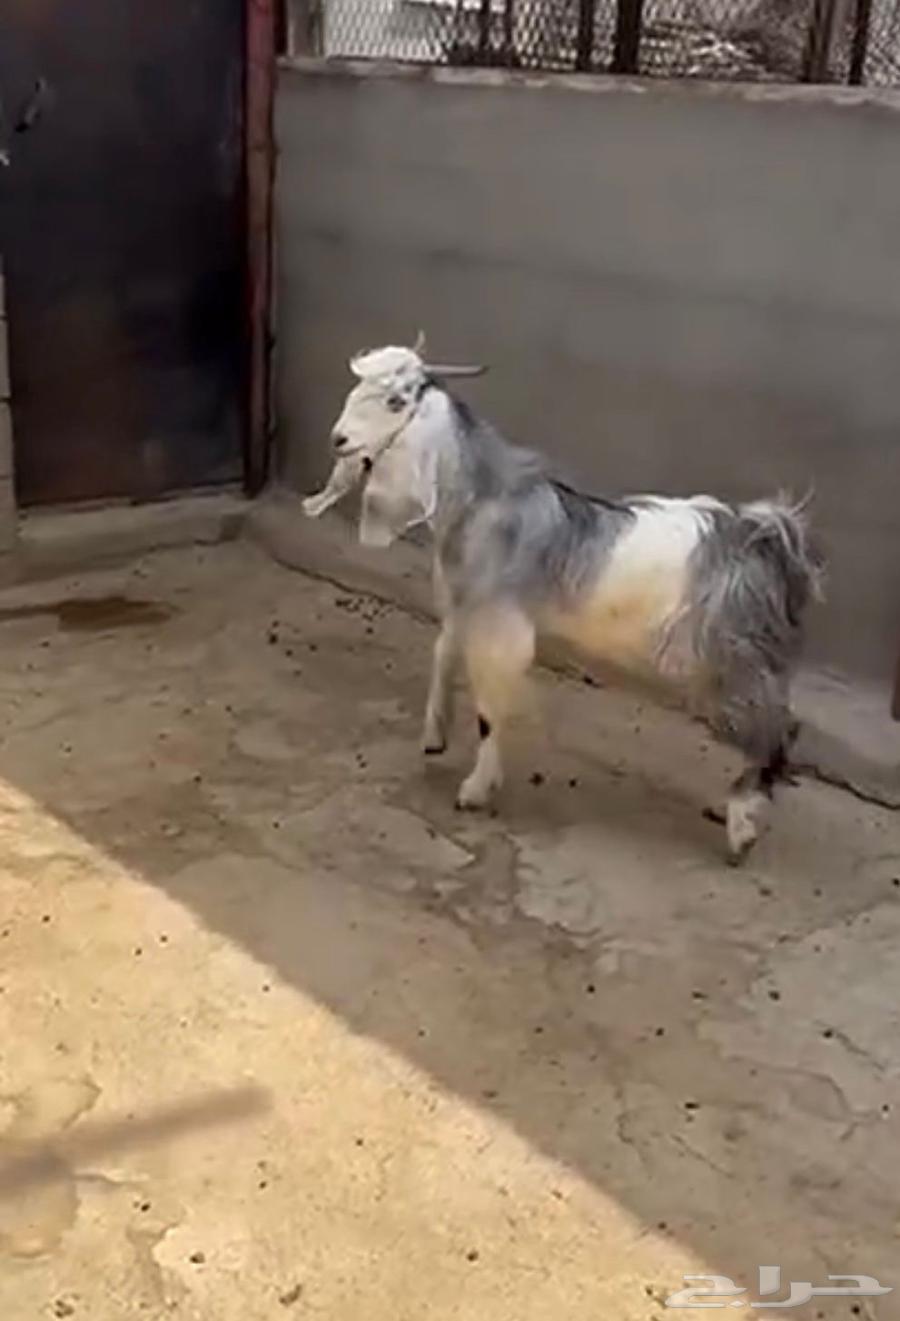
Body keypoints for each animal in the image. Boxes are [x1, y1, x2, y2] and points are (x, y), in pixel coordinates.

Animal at [303, 342, 823, 863]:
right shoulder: (464, 605)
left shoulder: (500, 625)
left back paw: (743, 825)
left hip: (730, 659)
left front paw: (476, 788)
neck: (482, 501)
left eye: (396, 402)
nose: (338, 439)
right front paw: (434, 736)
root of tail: (765, 538)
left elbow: (490, 711)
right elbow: (442, 656)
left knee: (777, 729)